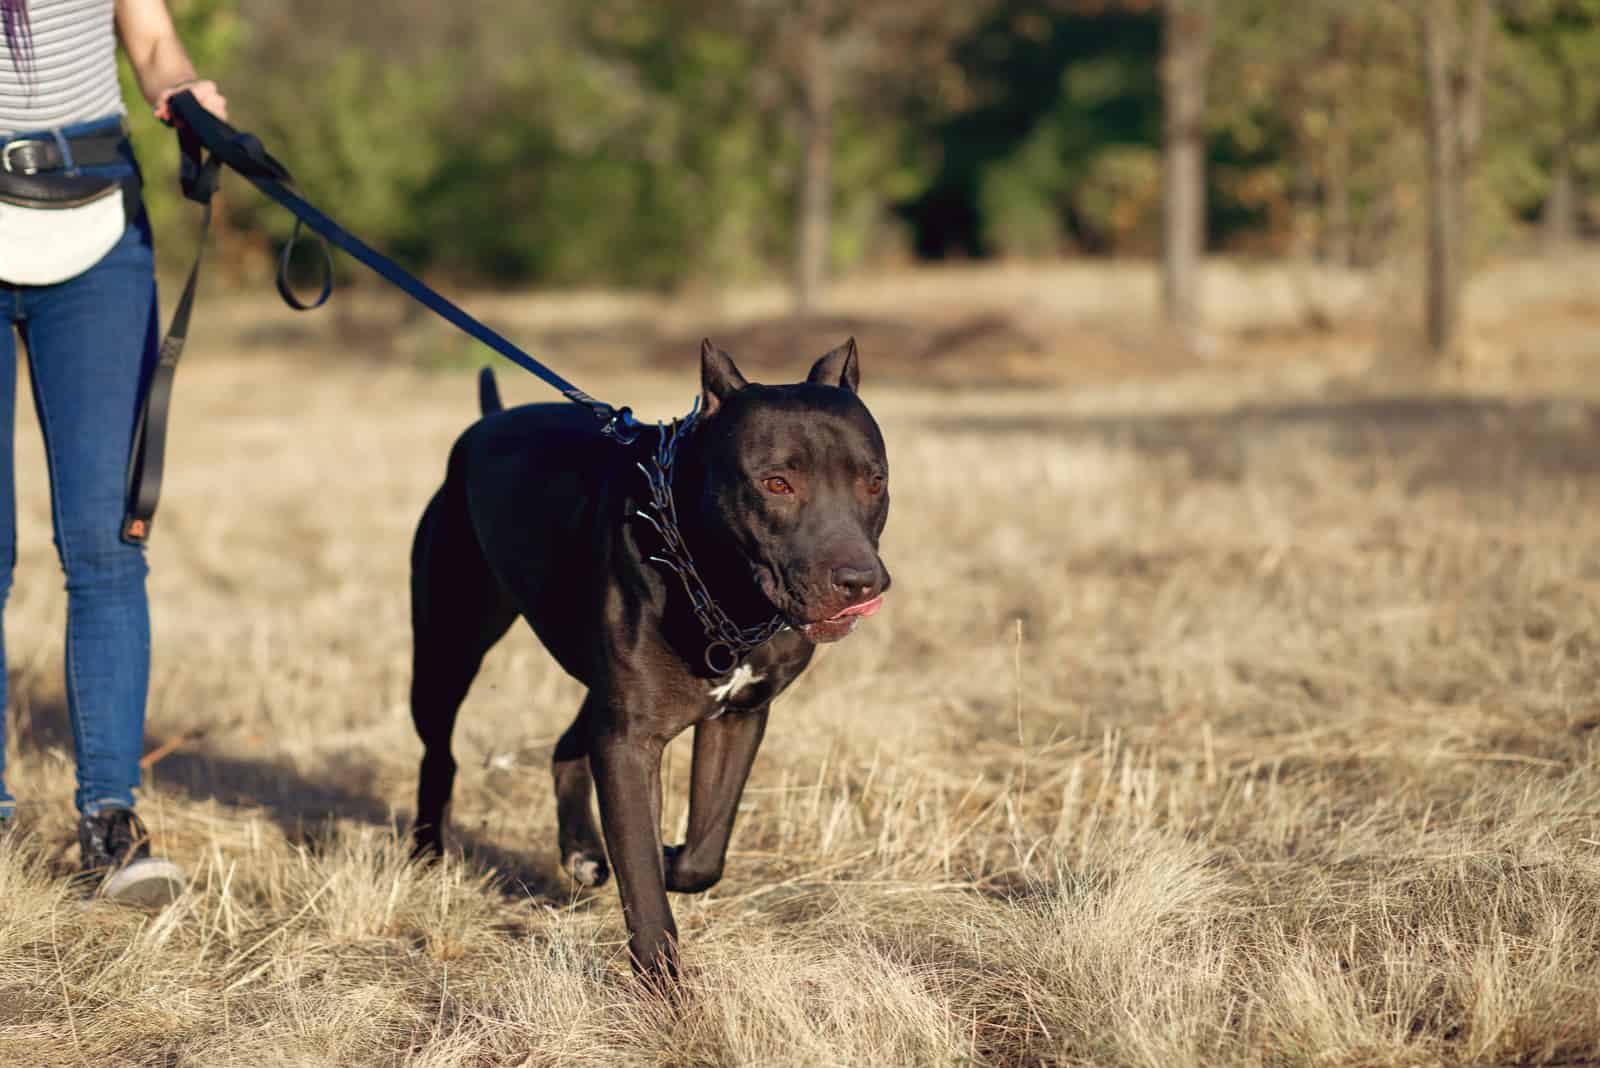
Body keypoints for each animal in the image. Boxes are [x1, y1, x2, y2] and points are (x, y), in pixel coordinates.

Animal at [409, 342, 889, 978]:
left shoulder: (738, 718)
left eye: (874, 480)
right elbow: (642, 879)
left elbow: (705, 848)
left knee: (568, 744)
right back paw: (426, 854)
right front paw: (664, 987)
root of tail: (489, 419)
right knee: (439, 752)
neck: (721, 586)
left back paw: (583, 852)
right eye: (776, 483)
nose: (860, 582)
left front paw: (668, 855)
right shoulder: (631, 738)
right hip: (447, 649)